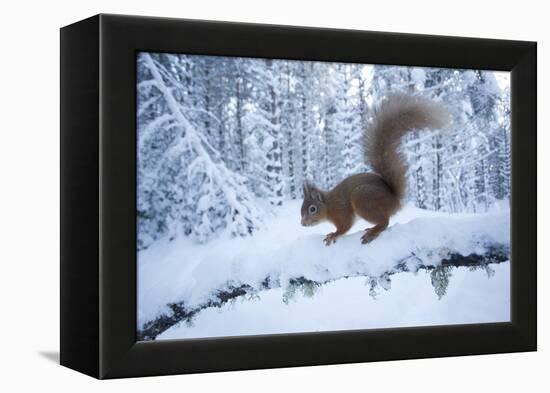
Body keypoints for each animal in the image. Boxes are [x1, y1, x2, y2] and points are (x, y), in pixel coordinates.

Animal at [302, 93, 452, 243]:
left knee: (385, 222)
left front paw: (333, 234)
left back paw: (372, 232)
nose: (302, 223)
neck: (328, 205)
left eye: (312, 209)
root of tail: (395, 200)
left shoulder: (342, 212)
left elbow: (344, 227)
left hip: (363, 199)